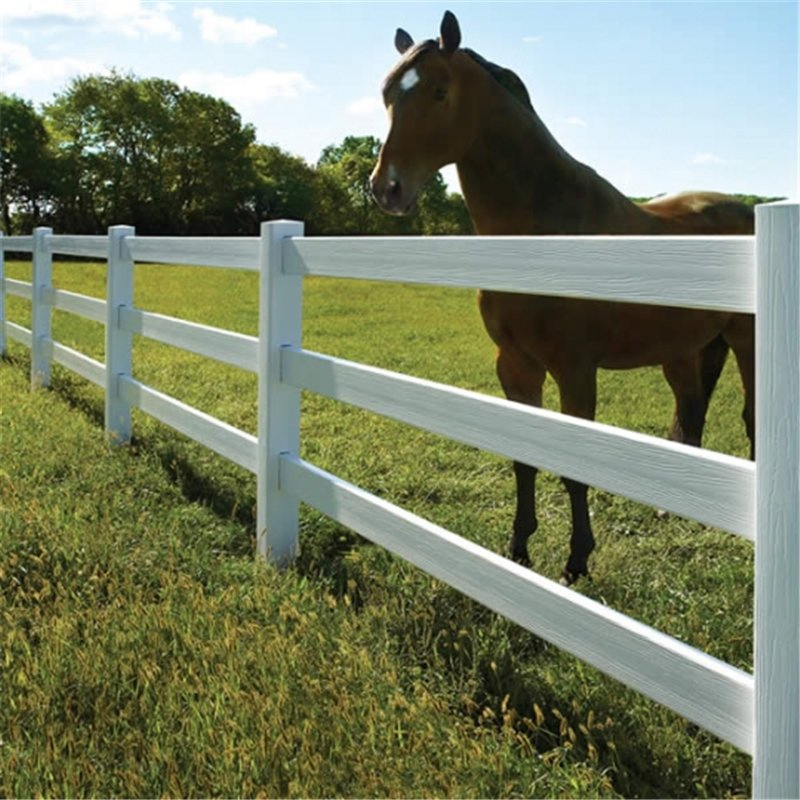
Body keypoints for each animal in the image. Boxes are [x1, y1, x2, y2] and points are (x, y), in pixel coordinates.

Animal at [370, 10, 755, 585]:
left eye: (439, 92)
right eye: (388, 94)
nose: (386, 188)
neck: (545, 230)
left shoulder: (575, 368)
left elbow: (575, 466)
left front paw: (576, 562)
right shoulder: (516, 365)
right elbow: (524, 458)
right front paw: (518, 550)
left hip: (747, 341)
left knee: (751, 419)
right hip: (683, 350)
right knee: (689, 411)